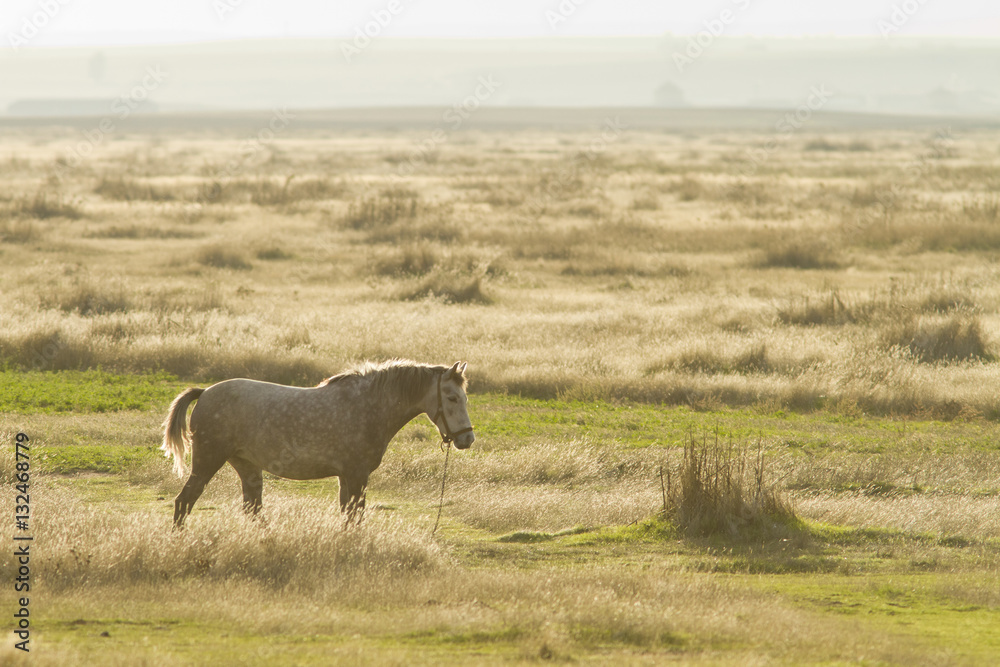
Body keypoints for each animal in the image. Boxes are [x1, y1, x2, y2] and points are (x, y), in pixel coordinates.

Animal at [161, 360, 475, 527]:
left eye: (464, 396)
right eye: (452, 397)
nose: (467, 438)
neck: (367, 405)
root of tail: (205, 392)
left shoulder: (346, 478)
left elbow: (348, 515)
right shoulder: (357, 476)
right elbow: (355, 517)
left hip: (247, 468)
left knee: (253, 510)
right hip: (206, 463)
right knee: (183, 503)